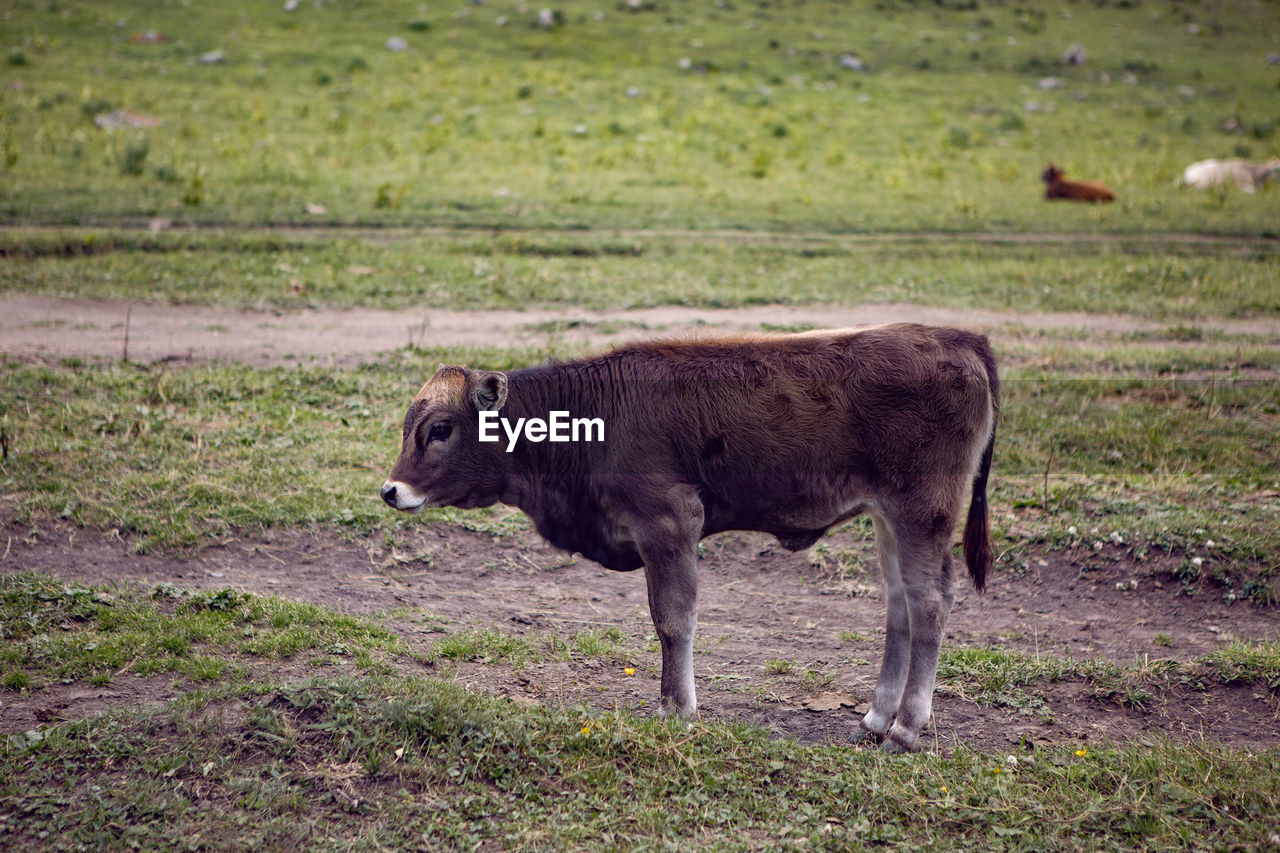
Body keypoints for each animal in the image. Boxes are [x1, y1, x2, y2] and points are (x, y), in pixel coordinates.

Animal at [378, 322, 998, 747]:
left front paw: (676, 709)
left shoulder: (670, 521)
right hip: (889, 519)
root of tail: (955, 337)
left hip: (921, 514)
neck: (592, 415)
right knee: (901, 607)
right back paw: (875, 718)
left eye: (439, 430)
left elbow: (673, 620)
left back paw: (908, 728)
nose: (390, 490)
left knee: (931, 603)